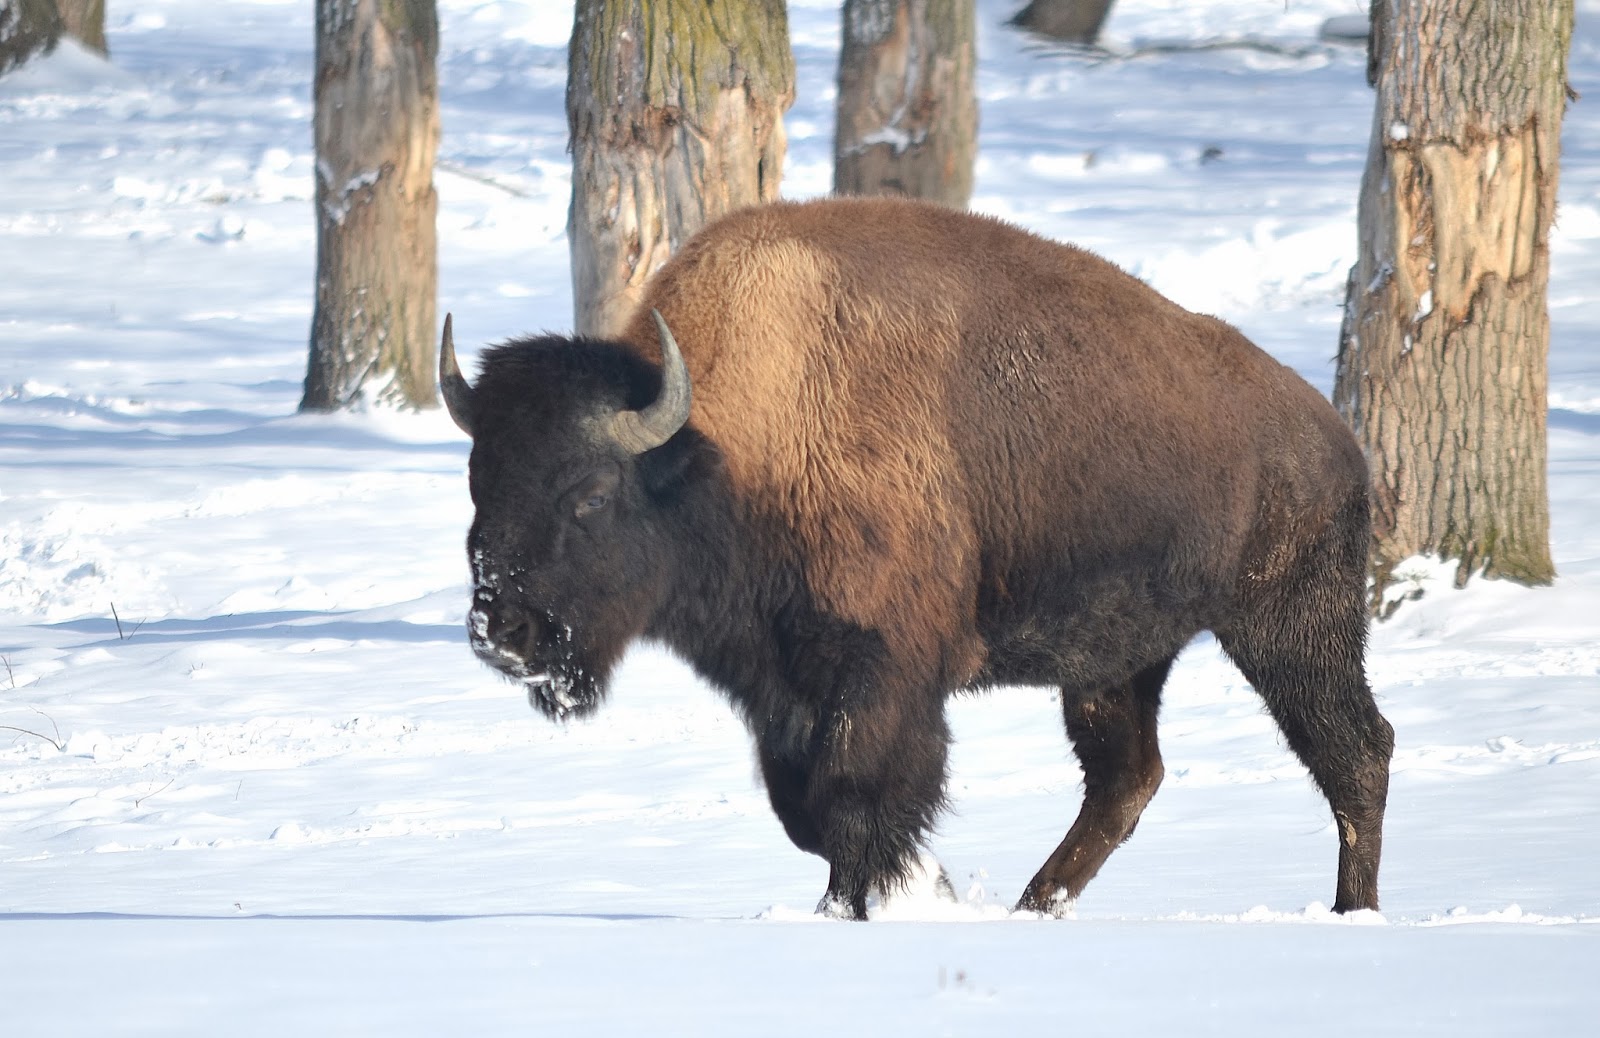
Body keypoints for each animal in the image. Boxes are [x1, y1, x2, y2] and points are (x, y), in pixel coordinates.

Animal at [440, 196, 1394, 920]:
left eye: (591, 493)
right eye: (478, 479)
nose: (501, 630)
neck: (717, 451)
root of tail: (1333, 435)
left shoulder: (882, 676)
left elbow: (856, 800)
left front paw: (871, 904)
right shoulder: (783, 684)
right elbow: (804, 809)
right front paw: (923, 886)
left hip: (1287, 628)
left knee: (1356, 753)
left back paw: (1353, 915)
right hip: (1118, 661)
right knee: (1128, 777)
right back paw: (1033, 907)